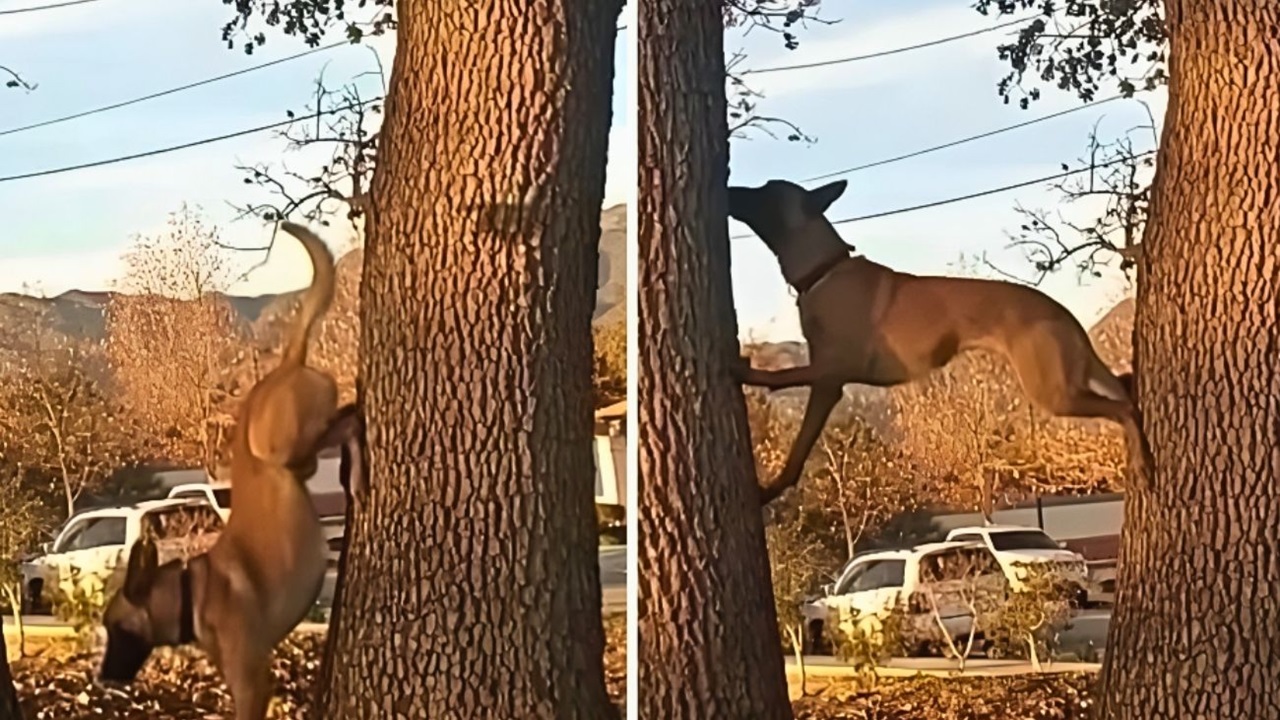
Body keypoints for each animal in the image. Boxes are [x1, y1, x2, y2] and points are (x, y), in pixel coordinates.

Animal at [97, 221, 345, 712]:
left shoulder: (251, 684)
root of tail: (284, 365)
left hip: (277, 449)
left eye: (115, 628)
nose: (100, 678)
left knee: (344, 420)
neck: (192, 592)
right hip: (295, 463)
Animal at [727, 178, 1157, 502]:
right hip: (1066, 381)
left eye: (764, 190)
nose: (729, 186)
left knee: (1125, 407)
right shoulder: (829, 383)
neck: (824, 270)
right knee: (1124, 389)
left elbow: (786, 381)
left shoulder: (830, 373)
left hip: (1052, 392)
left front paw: (745, 371)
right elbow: (799, 449)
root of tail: (1065, 314)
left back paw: (1141, 462)